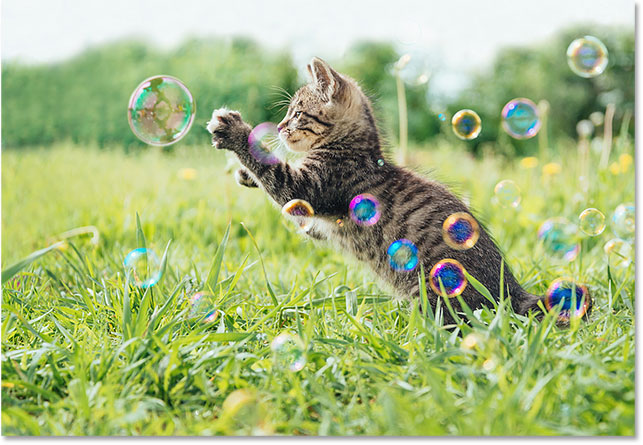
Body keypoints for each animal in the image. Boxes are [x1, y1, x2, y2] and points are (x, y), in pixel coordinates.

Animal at [208, 57, 592, 324]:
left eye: (298, 113)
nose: (281, 128)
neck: (356, 149)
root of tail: (511, 289)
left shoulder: (310, 189)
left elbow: (278, 177)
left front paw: (237, 133)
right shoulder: (318, 223)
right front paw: (245, 173)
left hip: (437, 287)